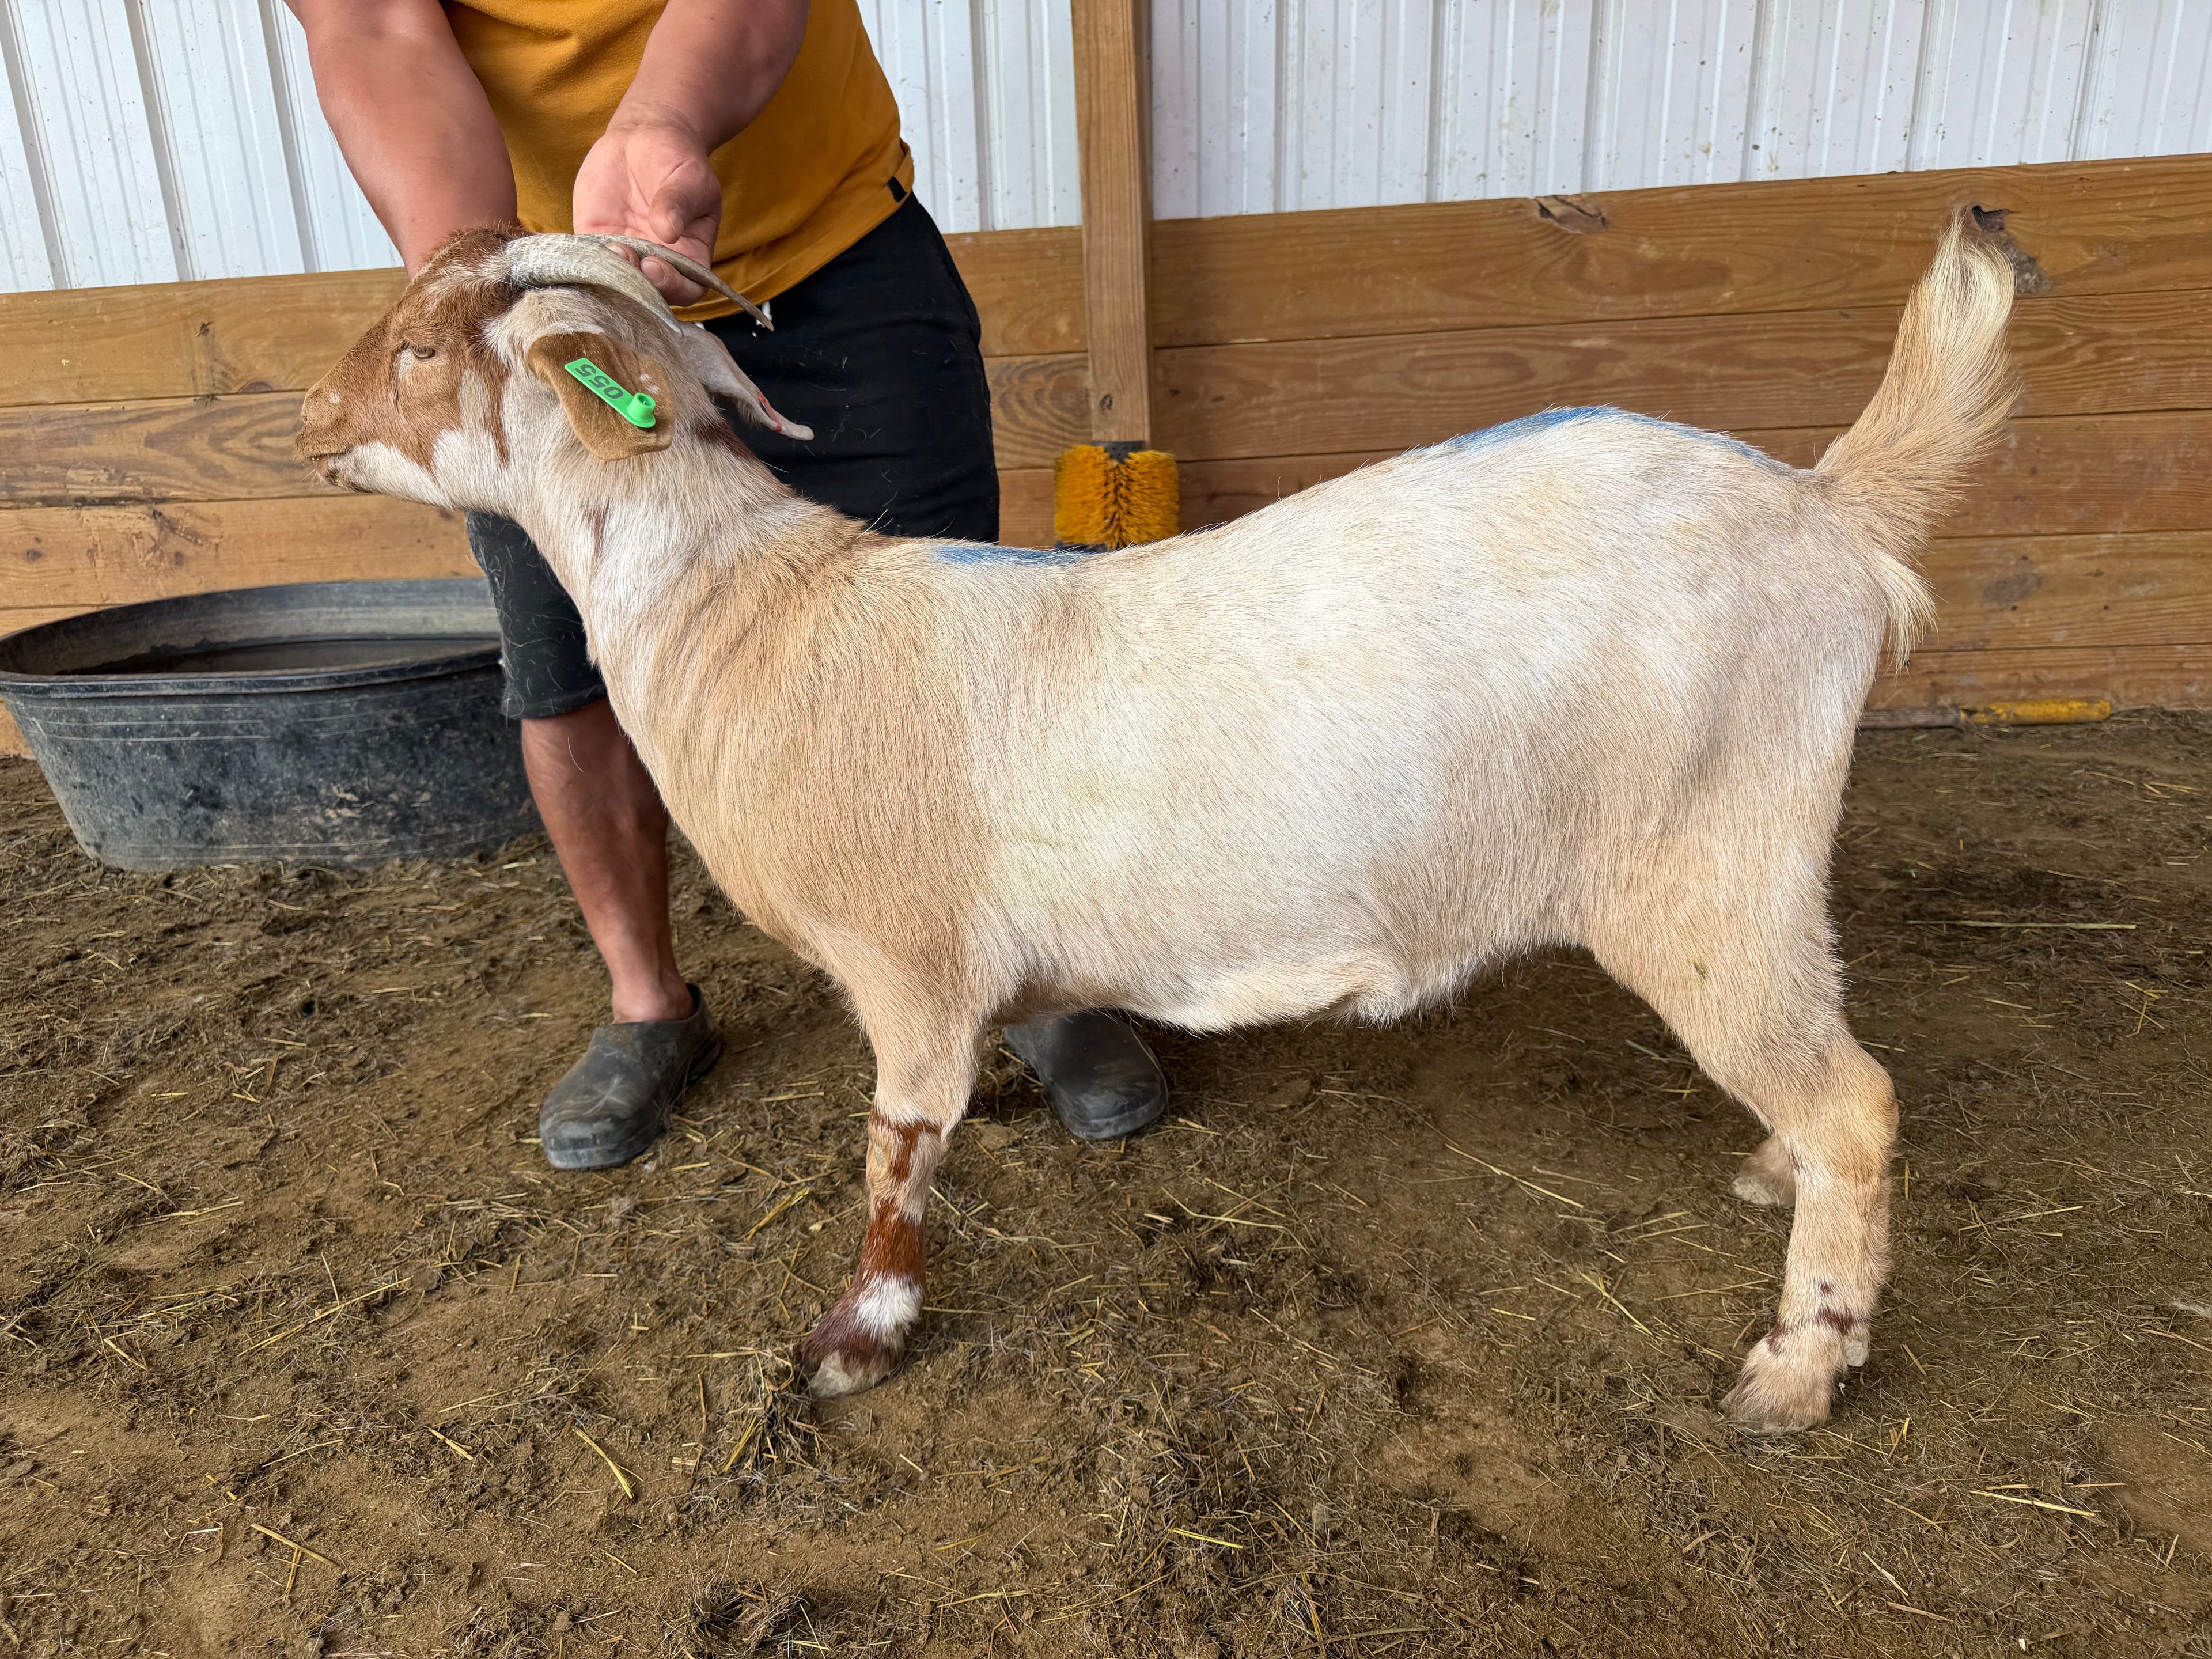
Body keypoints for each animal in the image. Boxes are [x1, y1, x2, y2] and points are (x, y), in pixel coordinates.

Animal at [297, 219, 2017, 1431]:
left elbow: (892, 1155)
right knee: (1825, 1080)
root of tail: (1829, 508)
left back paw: (1796, 1370)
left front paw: (854, 1343)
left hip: (1709, 866)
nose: (307, 405)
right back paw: (1771, 1182)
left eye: (428, 347)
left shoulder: (907, 963)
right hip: (1752, 875)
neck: (752, 619)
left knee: (1857, 1102)